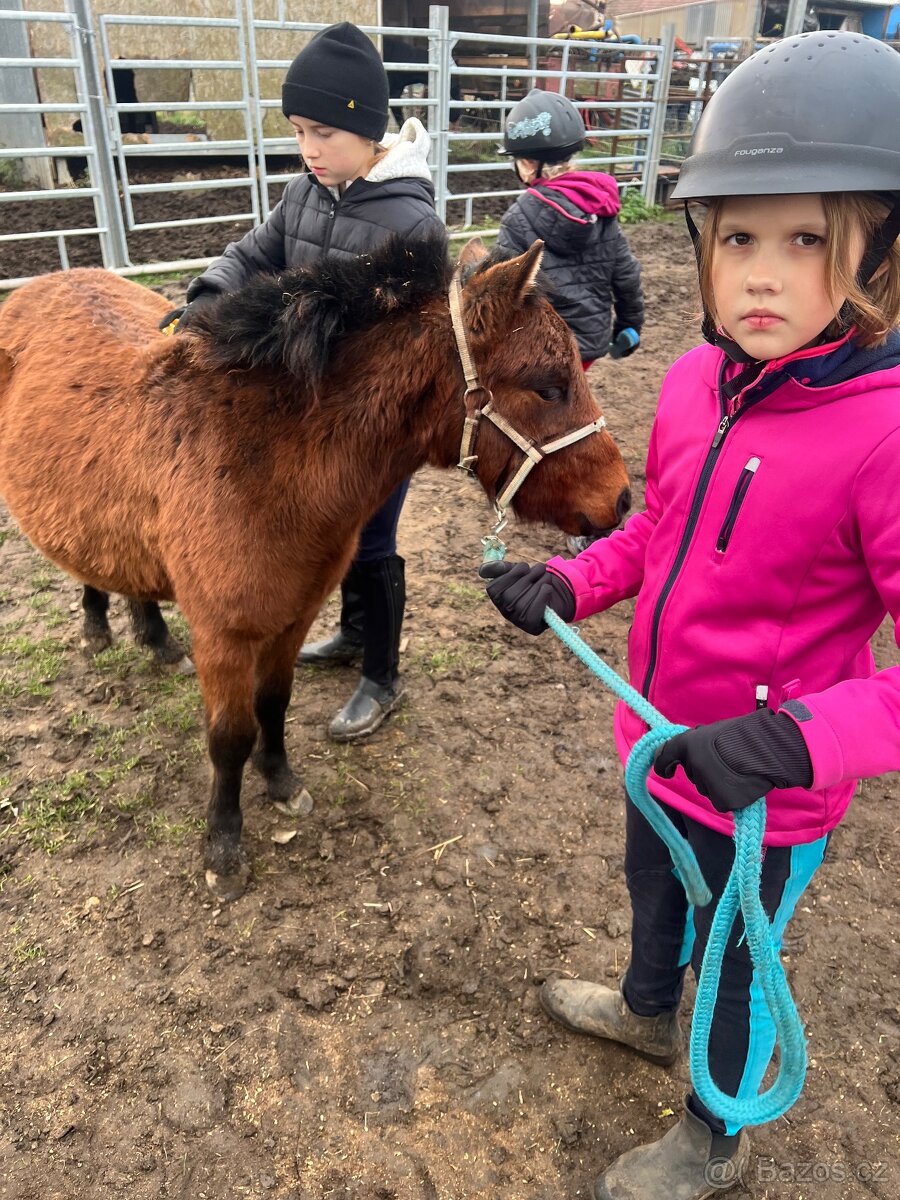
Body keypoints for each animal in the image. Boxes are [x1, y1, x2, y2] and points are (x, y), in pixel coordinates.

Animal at [0, 232, 630, 901]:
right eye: (547, 386)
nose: (620, 500)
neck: (259, 458)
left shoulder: (294, 615)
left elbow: (273, 705)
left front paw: (280, 783)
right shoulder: (224, 636)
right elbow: (229, 738)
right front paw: (223, 847)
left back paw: (154, 638)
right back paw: (96, 628)